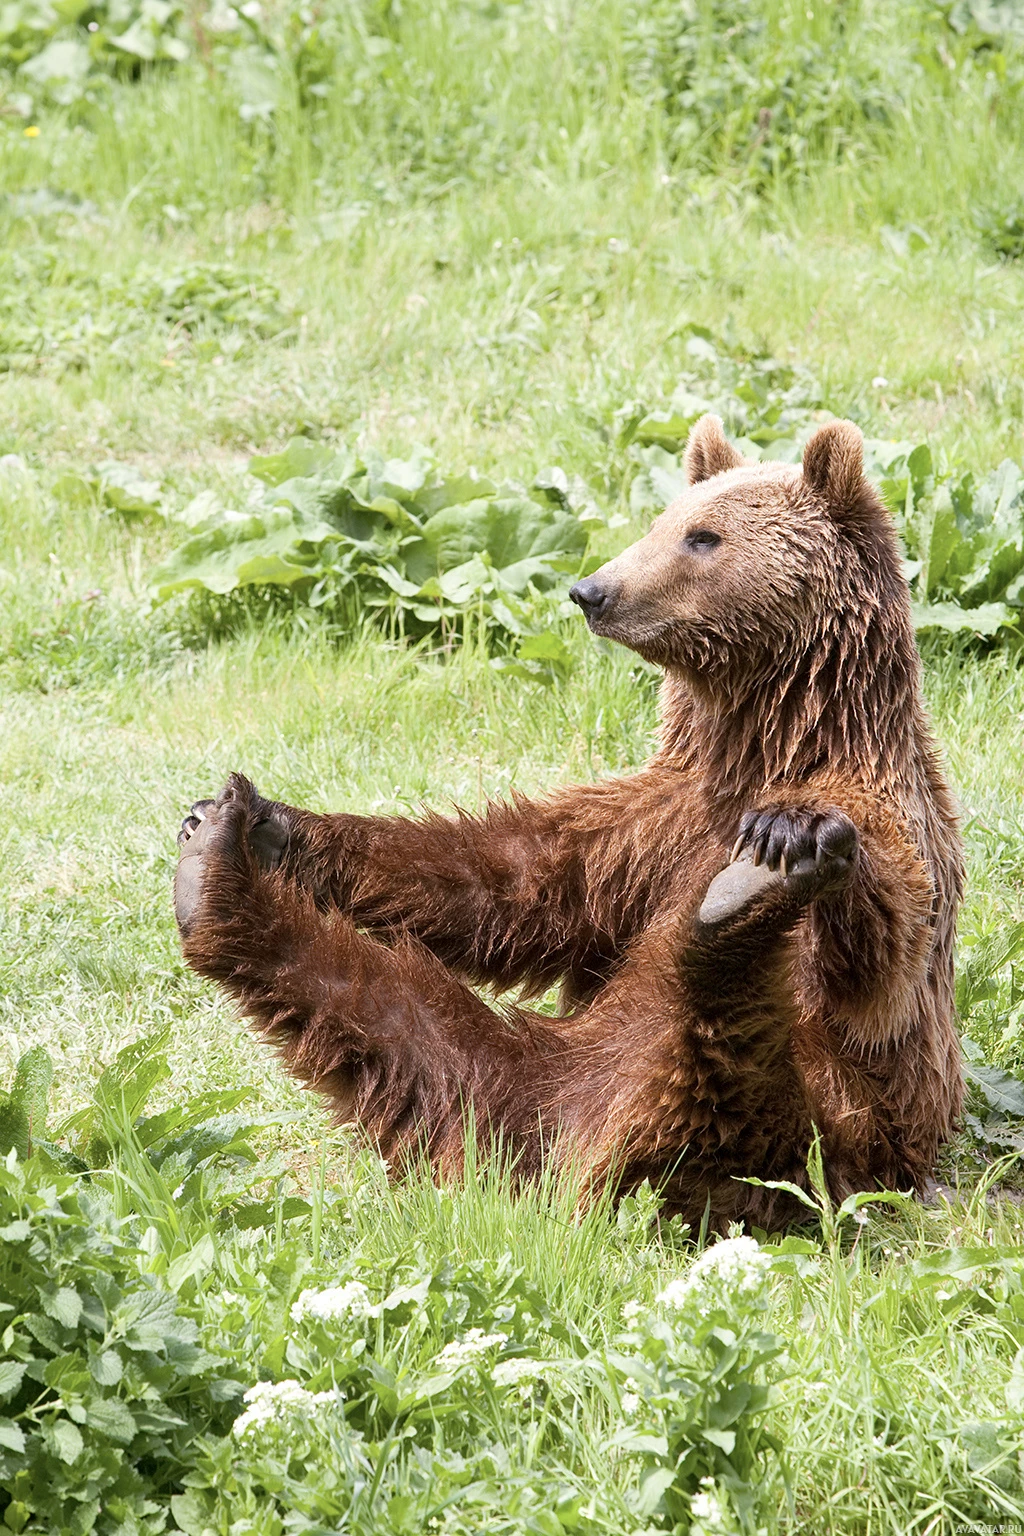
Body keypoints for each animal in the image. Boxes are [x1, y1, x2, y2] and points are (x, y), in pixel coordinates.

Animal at [176, 417, 970, 1222]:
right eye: (661, 522)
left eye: (704, 537)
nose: (592, 590)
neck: (762, 746)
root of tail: (584, 1157)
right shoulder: (653, 830)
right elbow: (518, 881)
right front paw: (270, 821)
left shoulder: (894, 819)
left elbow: (879, 955)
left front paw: (791, 833)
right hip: (521, 1086)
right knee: (393, 1021)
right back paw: (212, 871)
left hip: (802, 1130)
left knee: (732, 1054)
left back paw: (735, 903)